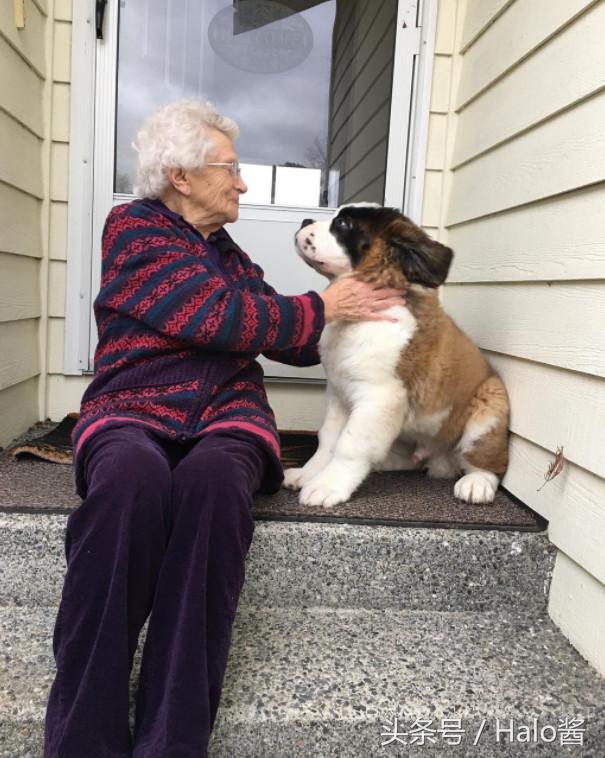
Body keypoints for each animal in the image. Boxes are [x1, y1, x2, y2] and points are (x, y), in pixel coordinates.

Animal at [284, 205, 510, 508]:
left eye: (343, 224)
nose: (305, 220)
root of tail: (441, 459)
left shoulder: (379, 398)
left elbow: (350, 445)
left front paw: (327, 486)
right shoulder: (339, 393)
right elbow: (328, 439)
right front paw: (309, 473)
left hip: (490, 405)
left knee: (488, 463)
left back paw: (477, 483)